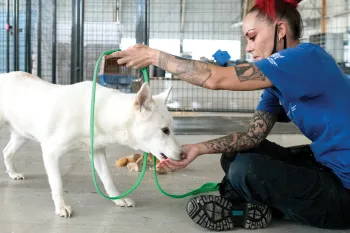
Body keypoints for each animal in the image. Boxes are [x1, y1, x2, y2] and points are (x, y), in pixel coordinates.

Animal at [0, 72, 182, 218]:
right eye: (165, 130)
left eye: (171, 129)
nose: (183, 155)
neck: (99, 112)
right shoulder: (50, 152)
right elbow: (57, 184)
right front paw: (61, 207)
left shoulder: (97, 152)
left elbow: (108, 179)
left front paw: (118, 199)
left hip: (21, 135)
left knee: (7, 152)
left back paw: (13, 173)